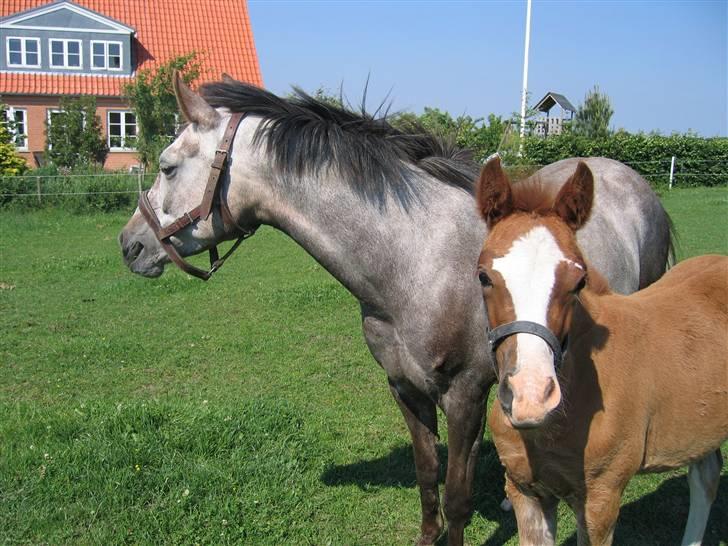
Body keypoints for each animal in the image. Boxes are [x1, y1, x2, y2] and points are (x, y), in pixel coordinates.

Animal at [118, 75, 672, 544]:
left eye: (167, 167)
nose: (130, 246)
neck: (415, 260)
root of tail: (631, 179)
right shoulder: (406, 389)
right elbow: (428, 480)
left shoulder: (465, 397)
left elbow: (457, 496)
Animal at [474, 155, 724, 540]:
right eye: (484, 276)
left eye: (579, 281)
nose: (531, 395)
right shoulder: (525, 492)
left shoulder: (601, 499)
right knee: (706, 474)